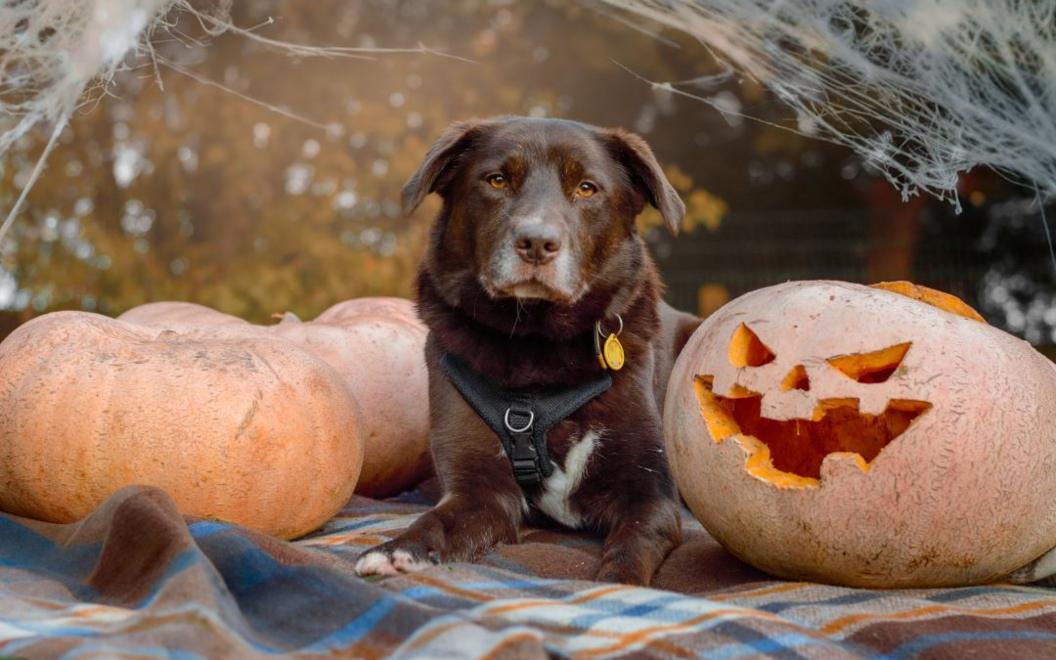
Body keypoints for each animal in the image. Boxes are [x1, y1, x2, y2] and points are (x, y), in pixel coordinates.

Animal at [354, 115, 701, 582]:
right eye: (497, 180)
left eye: (587, 188)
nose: (537, 243)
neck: (537, 347)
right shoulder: (479, 491)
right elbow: (437, 521)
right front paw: (397, 549)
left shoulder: (650, 495)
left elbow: (630, 550)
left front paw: (619, 585)